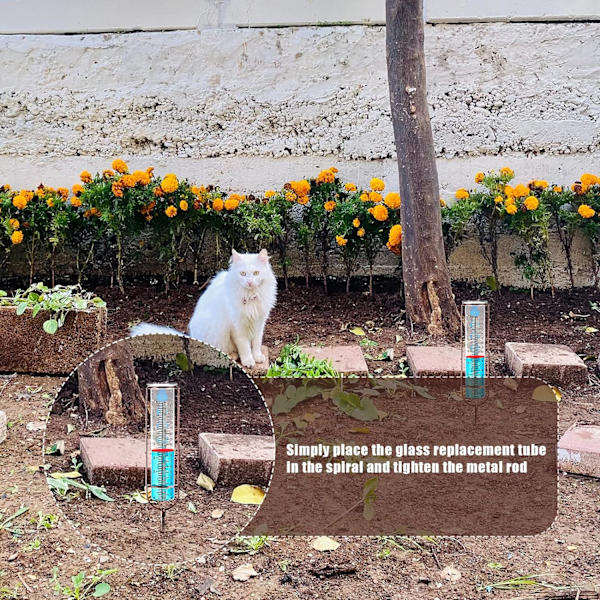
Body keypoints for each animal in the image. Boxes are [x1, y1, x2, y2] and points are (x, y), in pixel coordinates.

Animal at [131, 246, 276, 368]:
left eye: (256, 273)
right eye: (243, 274)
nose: (249, 282)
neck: (251, 297)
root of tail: (193, 337)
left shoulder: (259, 323)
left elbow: (256, 343)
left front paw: (257, 357)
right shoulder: (238, 327)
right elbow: (245, 347)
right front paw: (248, 361)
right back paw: (233, 356)